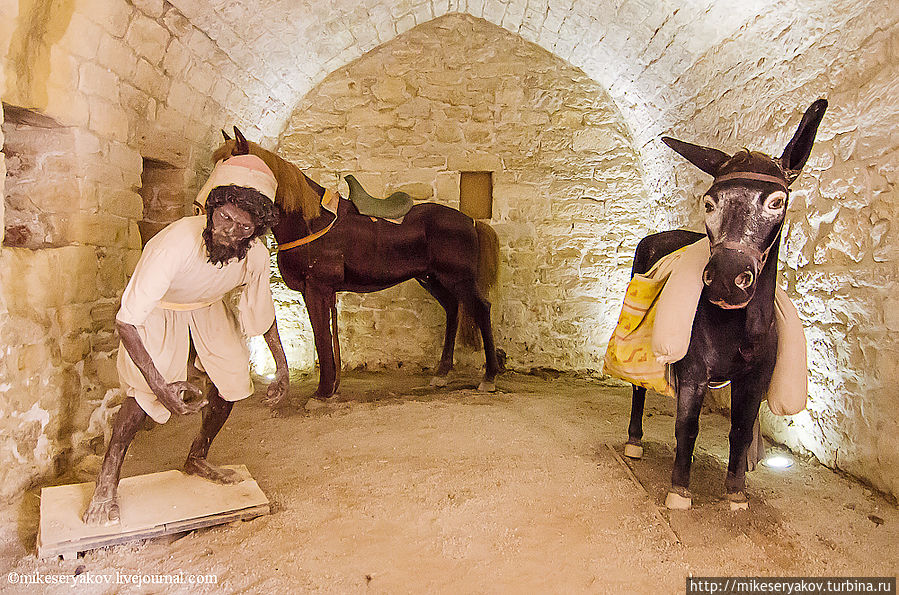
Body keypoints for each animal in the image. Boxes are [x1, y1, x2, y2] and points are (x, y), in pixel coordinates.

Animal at [214, 130, 502, 400]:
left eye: (231, 165)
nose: (212, 205)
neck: (310, 221)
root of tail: (470, 221)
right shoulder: (318, 292)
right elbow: (325, 337)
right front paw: (331, 388)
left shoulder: (317, 288)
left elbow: (321, 337)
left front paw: (323, 391)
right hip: (432, 279)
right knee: (453, 309)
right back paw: (441, 374)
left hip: (459, 278)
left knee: (481, 309)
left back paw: (489, 377)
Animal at [624, 99, 828, 512]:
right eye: (709, 201)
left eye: (777, 201)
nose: (725, 280)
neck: (738, 325)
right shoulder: (694, 371)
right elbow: (688, 426)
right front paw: (679, 490)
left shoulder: (754, 379)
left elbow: (740, 430)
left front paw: (735, 492)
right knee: (639, 388)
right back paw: (634, 441)